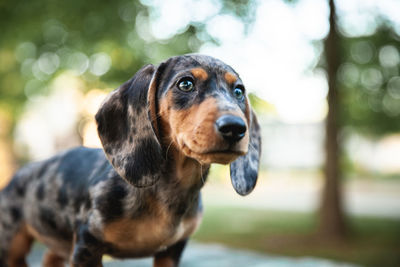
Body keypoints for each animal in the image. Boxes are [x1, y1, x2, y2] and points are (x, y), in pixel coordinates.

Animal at [0, 55, 260, 267]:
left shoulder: (172, 251)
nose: (235, 128)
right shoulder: (87, 246)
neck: (168, 191)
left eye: (238, 91)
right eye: (186, 84)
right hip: (12, 245)